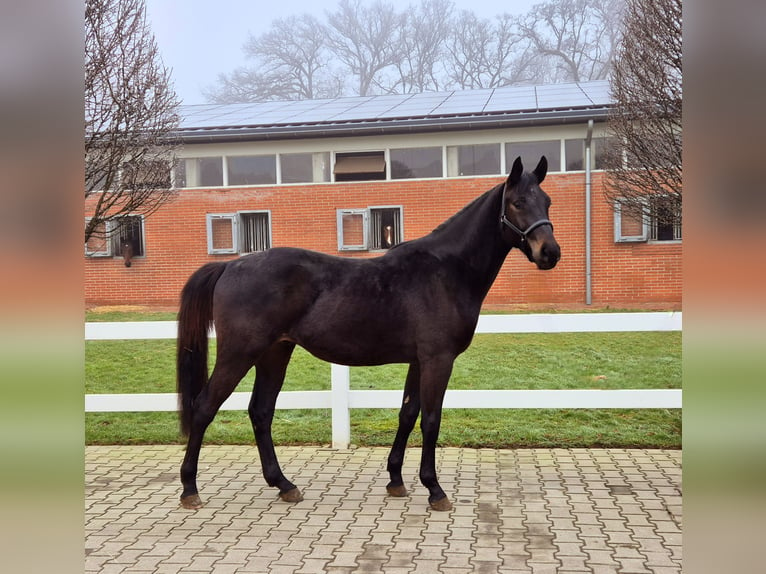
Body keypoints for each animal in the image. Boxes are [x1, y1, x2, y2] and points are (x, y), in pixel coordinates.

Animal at [180, 158, 564, 512]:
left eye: (547, 201)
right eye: (517, 202)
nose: (550, 252)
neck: (446, 271)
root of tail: (230, 264)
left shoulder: (418, 361)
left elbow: (407, 414)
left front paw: (396, 480)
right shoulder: (438, 360)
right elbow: (431, 420)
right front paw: (435, 489)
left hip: (275, 353)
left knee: (260, 412)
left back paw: (284, 485)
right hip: (239, 354)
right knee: (204, 407)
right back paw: (190, 489)